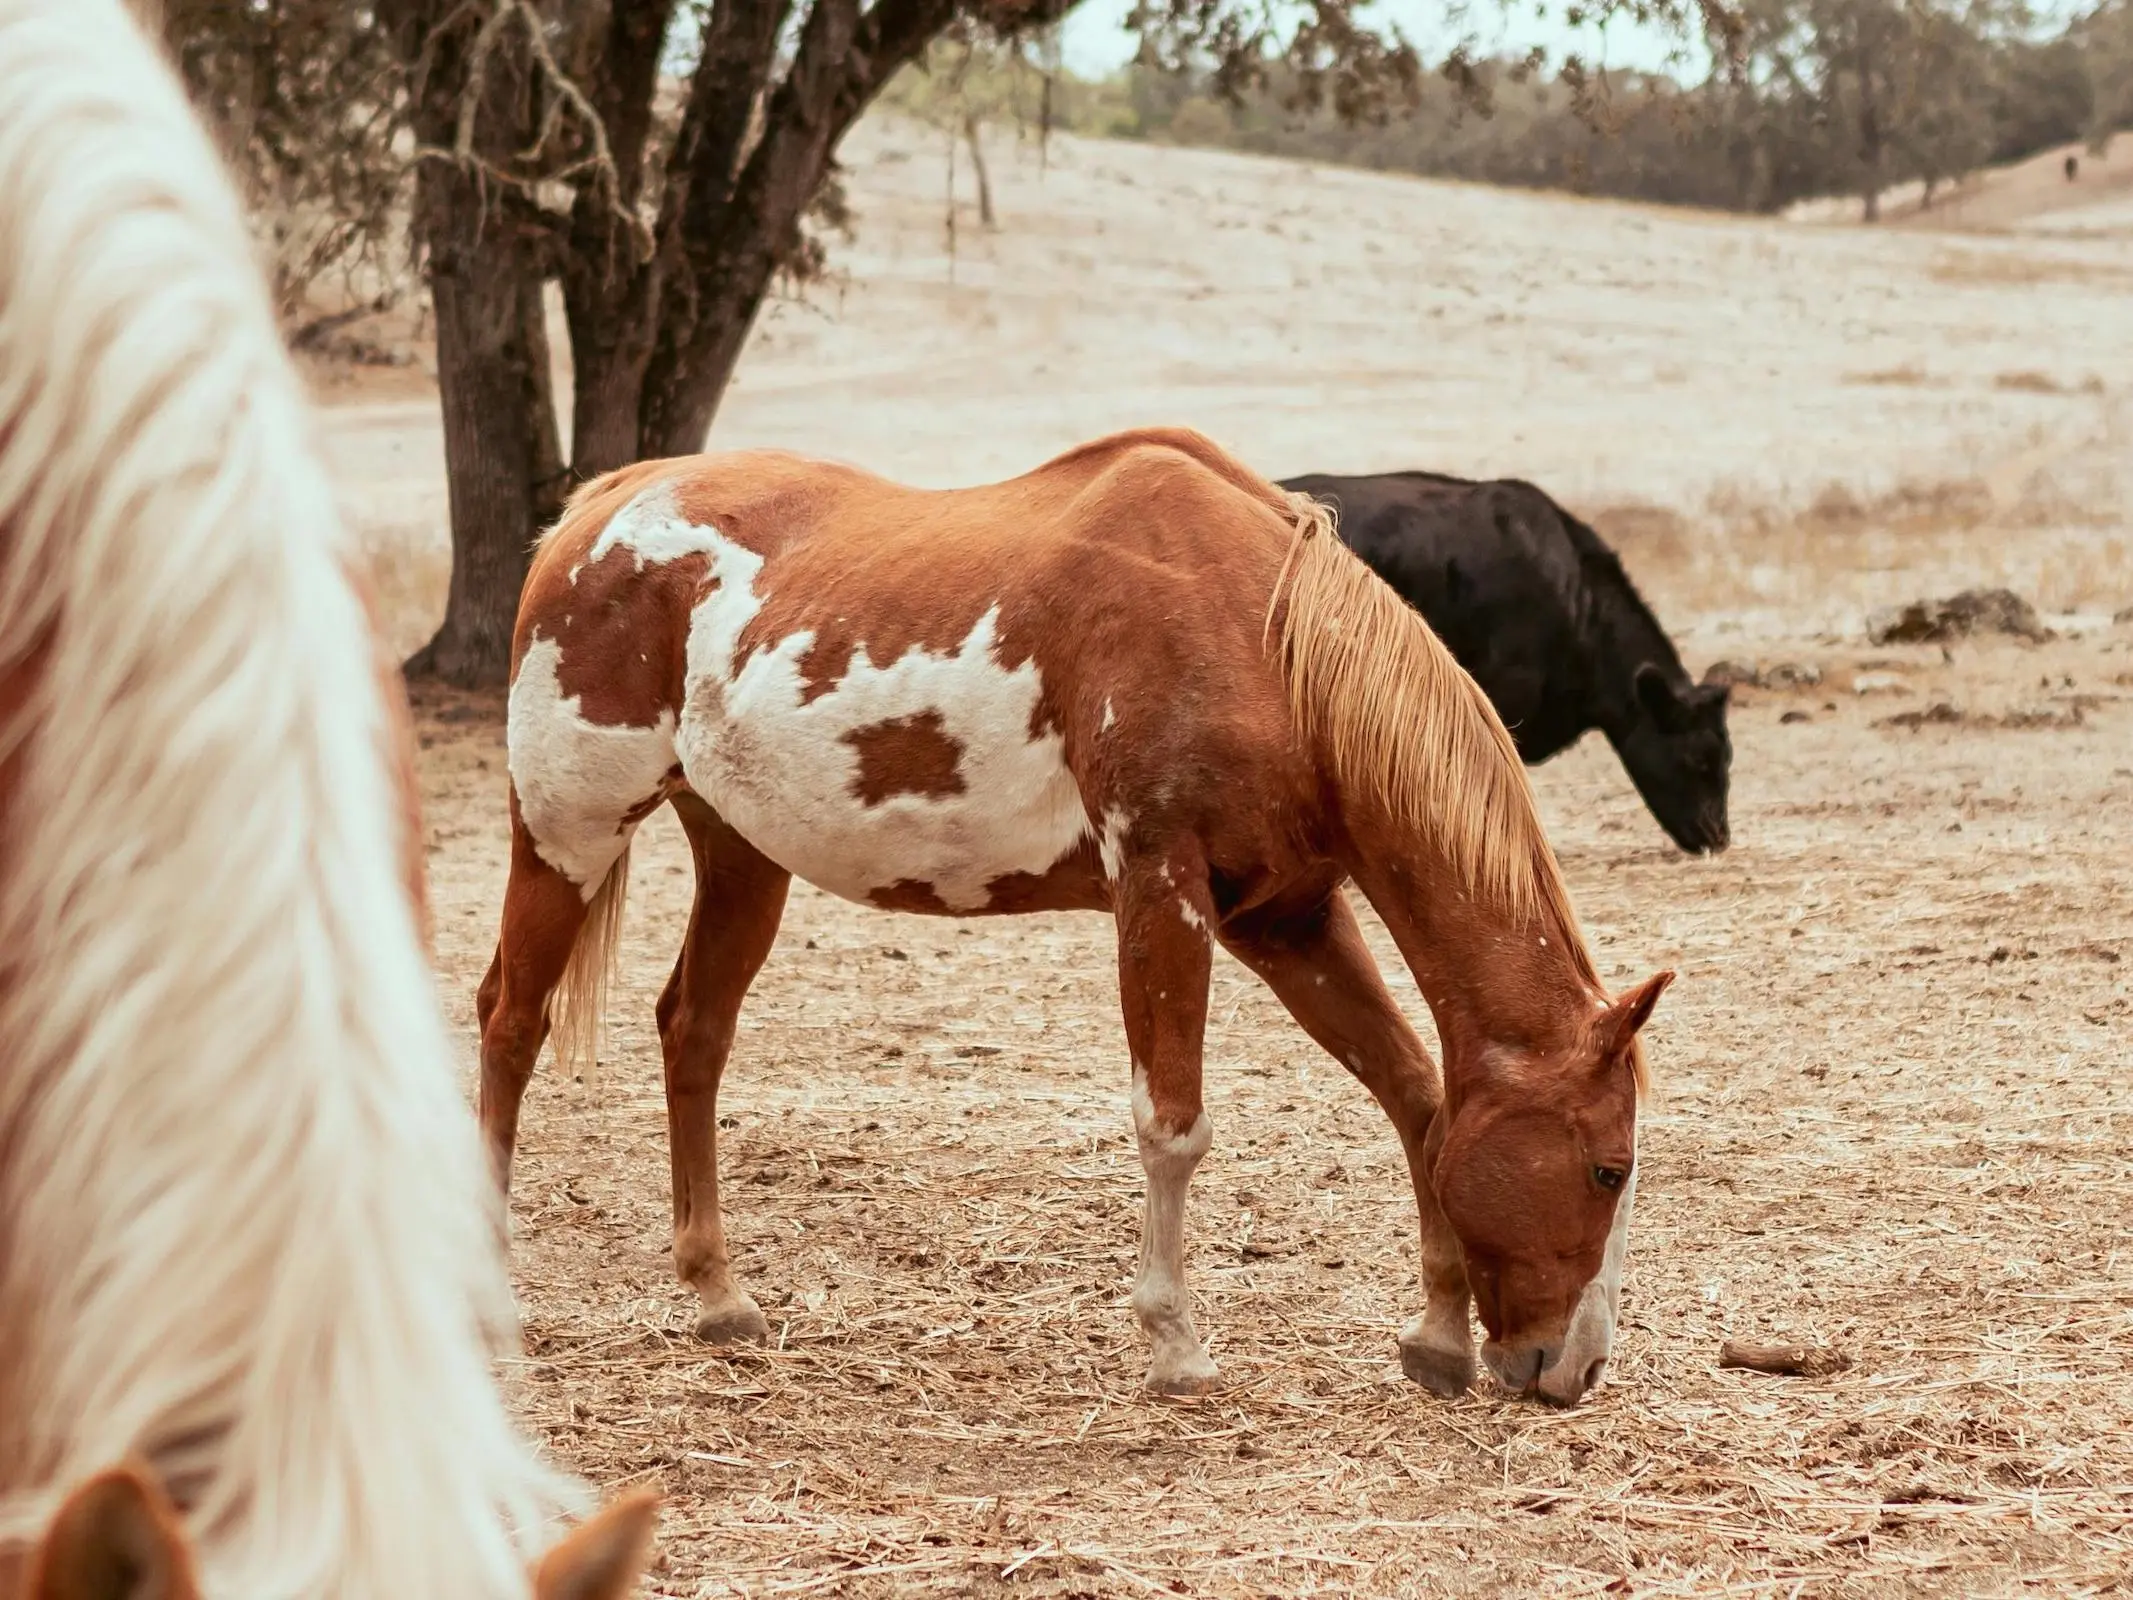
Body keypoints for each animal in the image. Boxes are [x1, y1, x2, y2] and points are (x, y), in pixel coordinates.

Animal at [488, 433, 1680, 1408]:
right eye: (1607, 1167)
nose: (1577, 1370)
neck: (1264, 639)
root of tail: (598, 510)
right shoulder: (1161, 890)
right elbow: (1175, 1122)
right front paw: (1175, 1346)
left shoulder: (1287, 918)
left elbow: (1417, 1098)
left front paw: (1434, 1336)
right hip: (565, 837)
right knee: (509, 1026)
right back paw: (491, 1288)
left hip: (741, 859)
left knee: (693, 1034)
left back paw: (717, 1294)